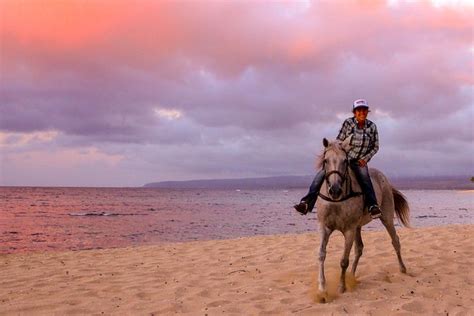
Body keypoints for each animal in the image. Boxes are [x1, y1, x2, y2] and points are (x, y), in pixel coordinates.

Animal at [314, 137, 412, 298]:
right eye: (325, 160)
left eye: (345, 161)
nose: (334, 190)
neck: (337, 201)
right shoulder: (325, 227)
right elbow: (321, 254)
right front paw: (322, 289)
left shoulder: (349, 230)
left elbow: (343, 260)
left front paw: (341, 287)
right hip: (358, 227)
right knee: (359, 249)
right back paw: (352, 276)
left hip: (386, 218)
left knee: (395, 241)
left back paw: (403, 268)